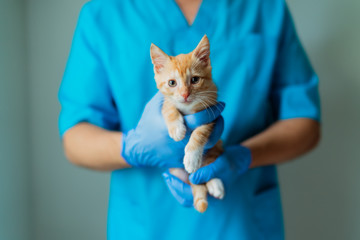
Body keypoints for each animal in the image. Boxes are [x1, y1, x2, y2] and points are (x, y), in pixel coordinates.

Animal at [150, 35, 224, 212]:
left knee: (207, 169)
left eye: (195, 80)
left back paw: (214, 183)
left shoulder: (210, 111)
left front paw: (192, 156)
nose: (184, 94)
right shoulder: (165, 101)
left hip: (218, 146)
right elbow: (168, 107)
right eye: (172, 83)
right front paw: (176, 128)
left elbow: (200, 132)